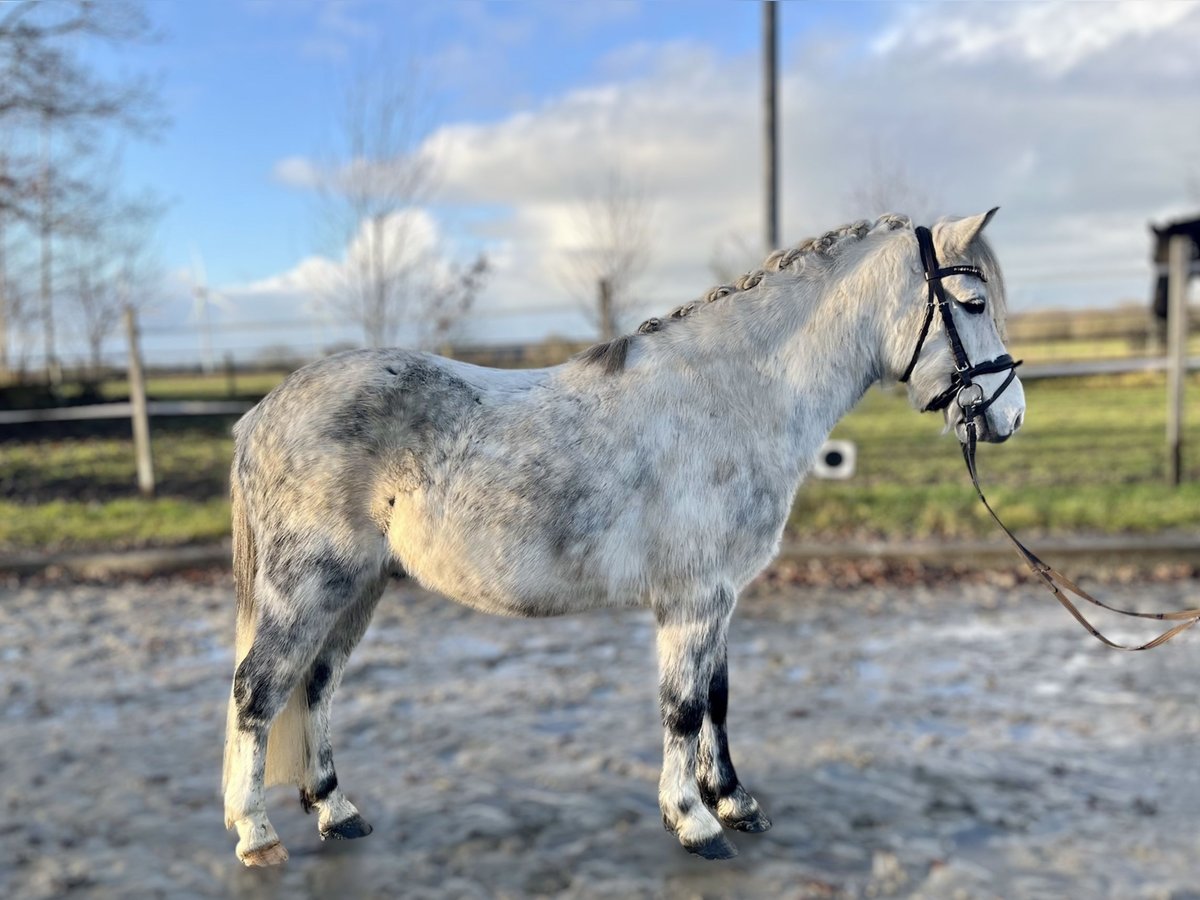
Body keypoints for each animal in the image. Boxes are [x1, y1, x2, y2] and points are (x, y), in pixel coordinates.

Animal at [223, 211, 1022, 868]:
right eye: (974, 304)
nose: (1008, 415)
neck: (734, 395)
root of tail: (262, 413)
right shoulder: (695, 599)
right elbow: (684, 707)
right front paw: (694, 822)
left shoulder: (718, 597)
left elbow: (717, 697)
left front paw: (734, 801)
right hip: (308, 586)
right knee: (258, 689)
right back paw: (257, 834)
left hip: (356, 590)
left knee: (316, 684)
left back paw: (335, 810)